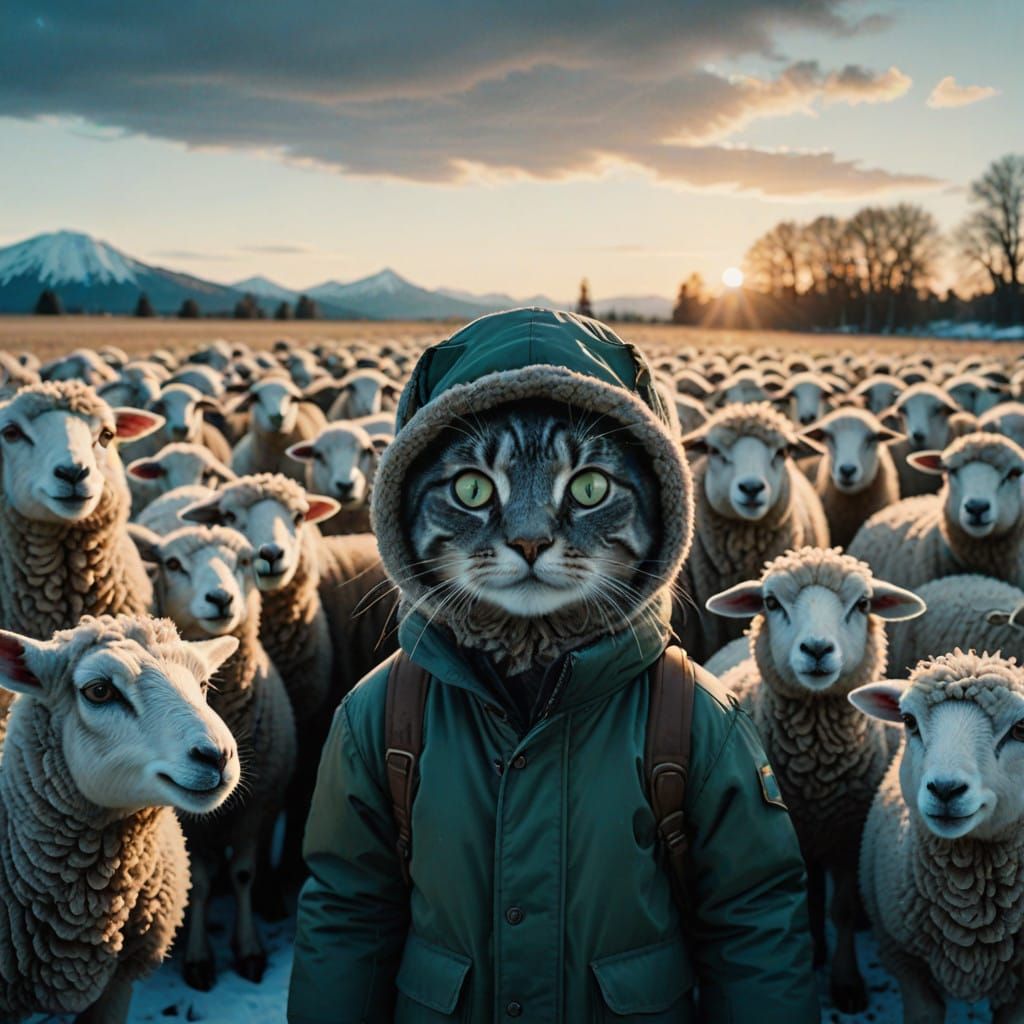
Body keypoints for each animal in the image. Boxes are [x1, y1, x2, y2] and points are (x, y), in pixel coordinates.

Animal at [132, 525, 297, 990]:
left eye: (245, 561)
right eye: (172, 564)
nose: (221, 599)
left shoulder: (257, 805)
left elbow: (242, 874)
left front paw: (249, 950)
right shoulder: (190, 822)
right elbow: (201, 883)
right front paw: (199, 958)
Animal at [708, 547, 925, 1013]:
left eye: (863, 604)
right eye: (771, 603)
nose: (817, 649)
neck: (817, 774)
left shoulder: (847, 834)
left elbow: (840, 909)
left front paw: (846, 983)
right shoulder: (793, 834)